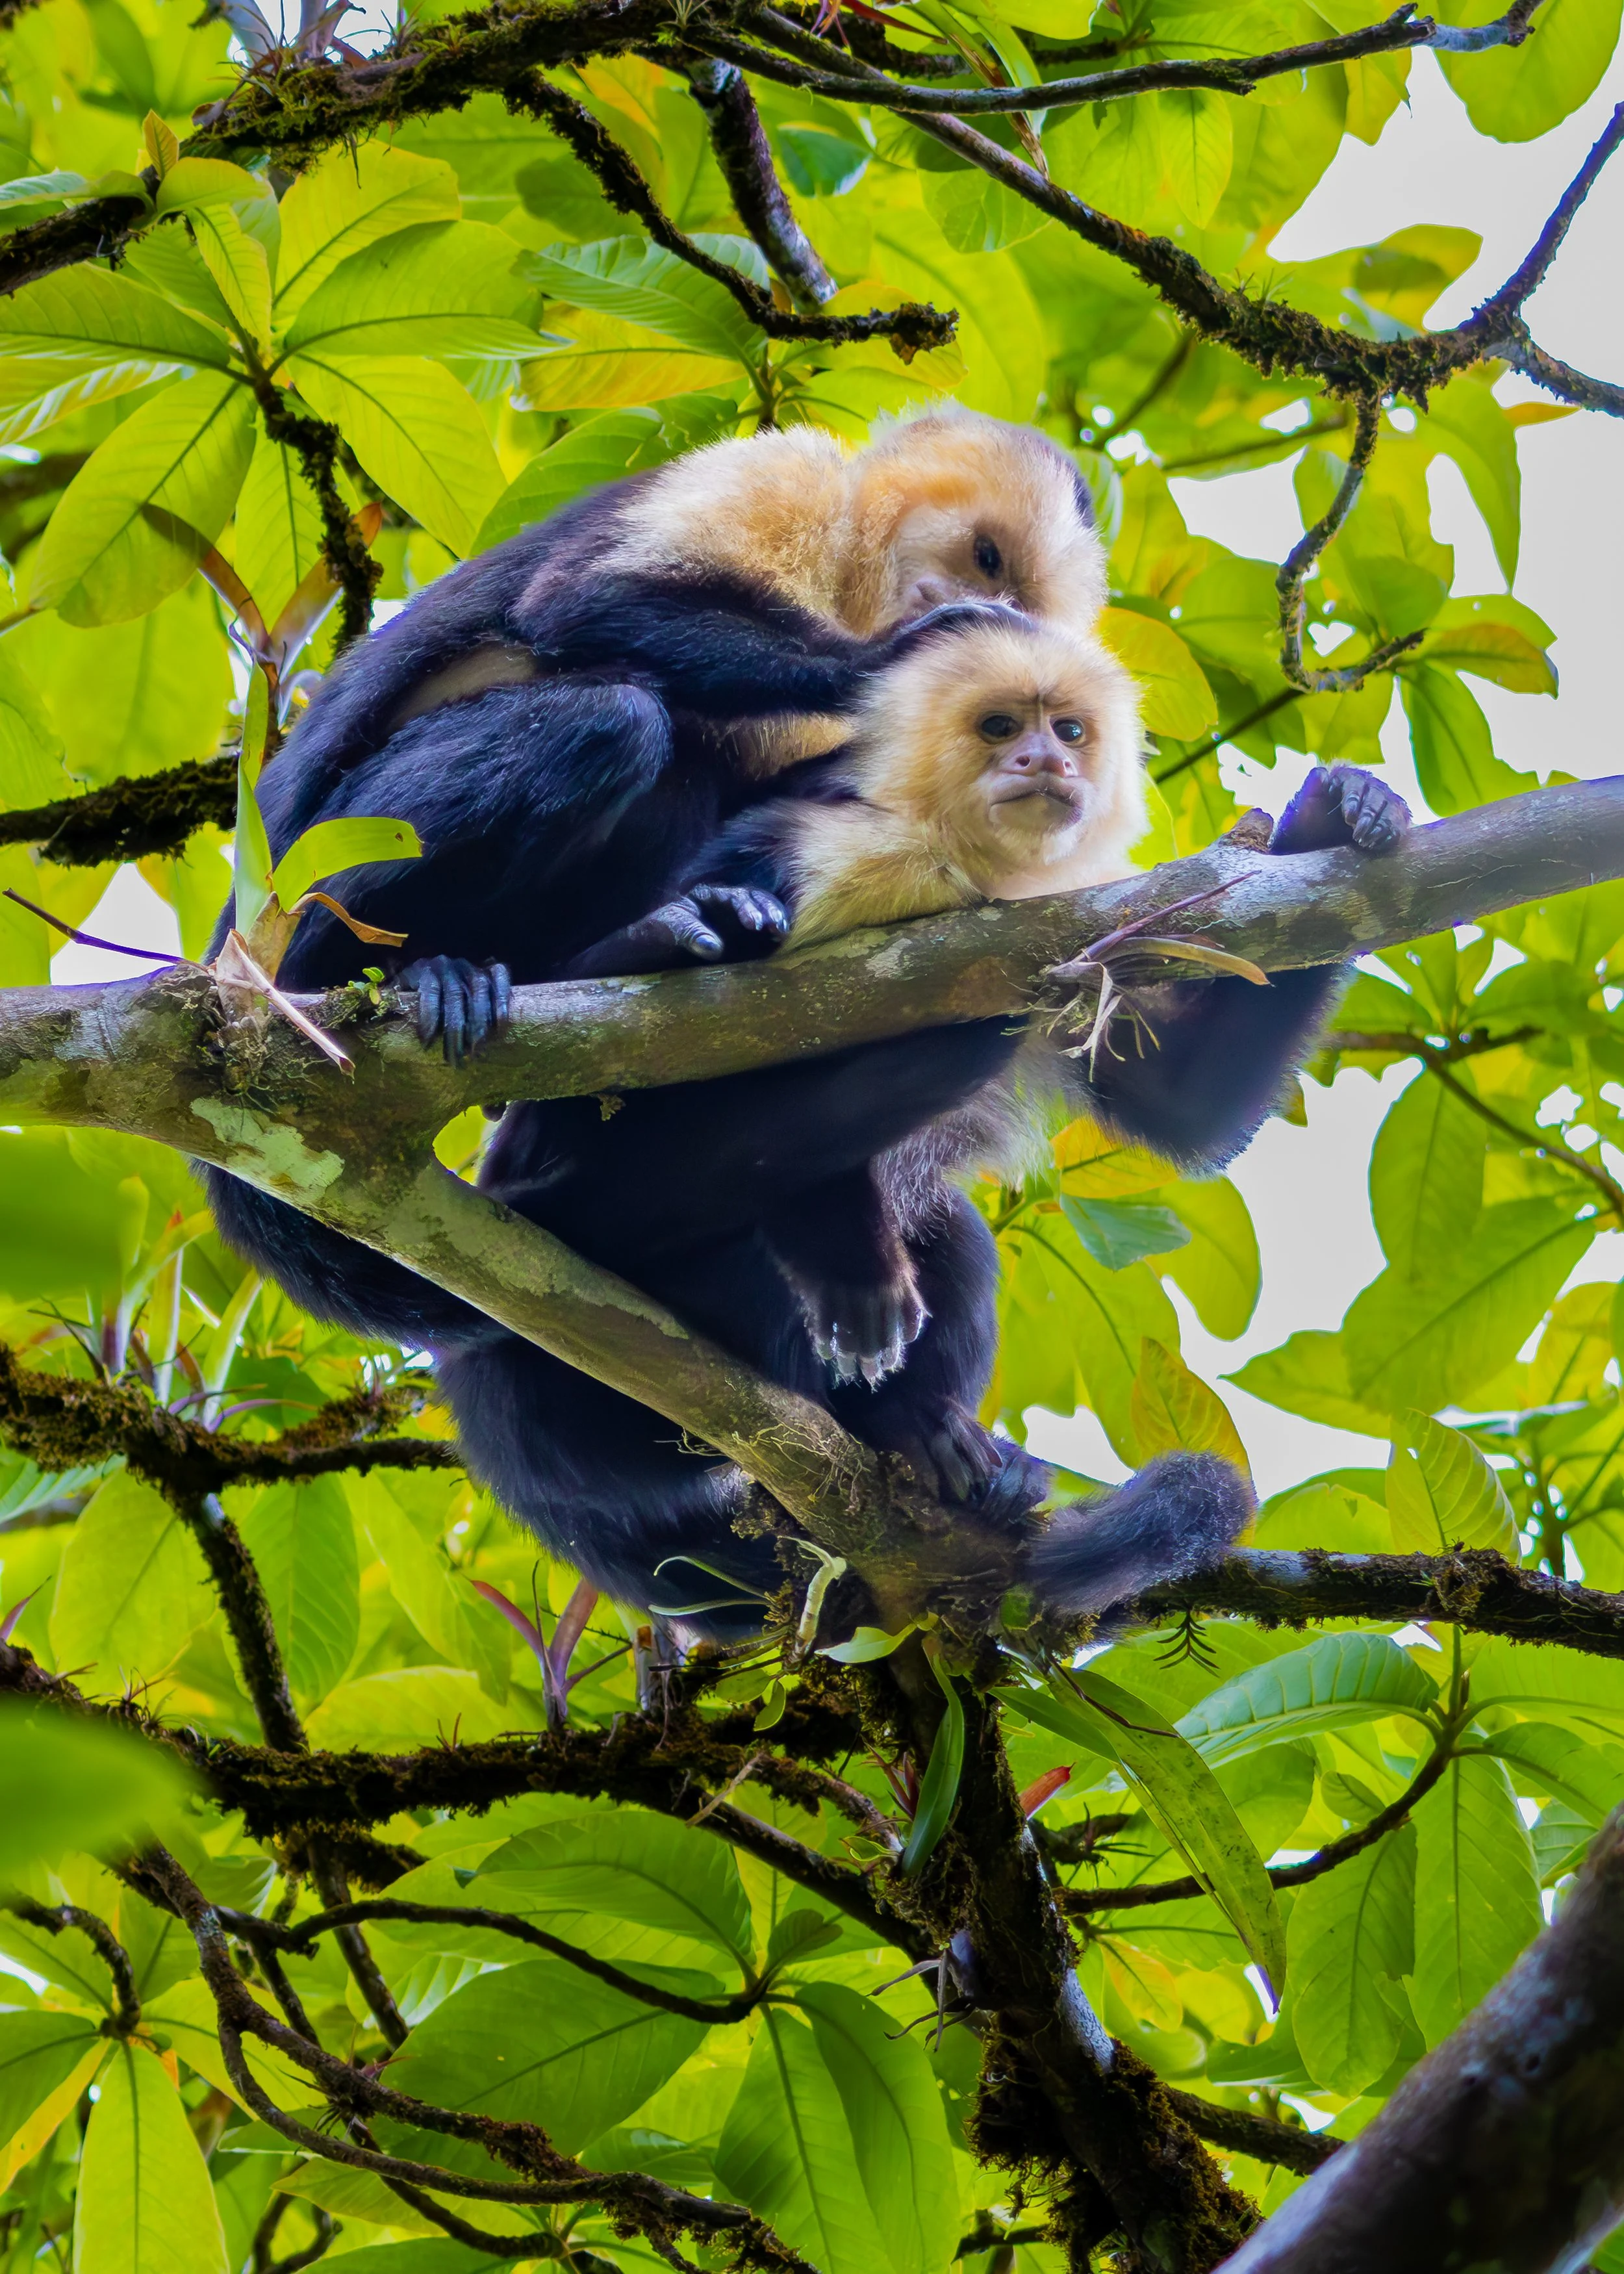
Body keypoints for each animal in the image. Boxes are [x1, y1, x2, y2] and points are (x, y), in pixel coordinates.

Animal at [201, 408, 1110, 1352]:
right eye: (986, 557)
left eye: (1019, 595)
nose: (962, 605)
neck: (854, 587)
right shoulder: (789, 475)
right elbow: (582, 598)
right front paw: (893, 652)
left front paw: (843, 1237)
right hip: (306, 878)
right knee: (613, 719)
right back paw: (400, 974)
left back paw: (623, 951)